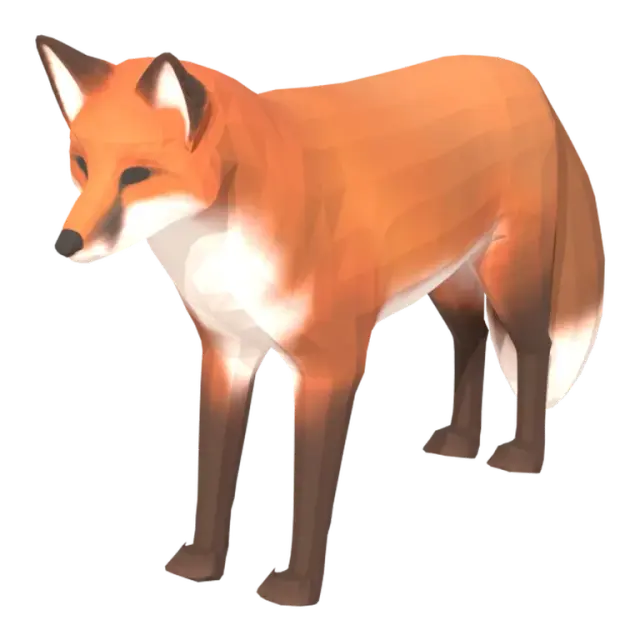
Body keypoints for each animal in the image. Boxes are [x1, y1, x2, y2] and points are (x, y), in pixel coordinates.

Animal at [38, 34, 606, 608]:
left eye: (137, 174)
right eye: (82, 165)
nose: (64, 243)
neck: (224, 248)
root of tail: (515, 70)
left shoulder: (329, 362)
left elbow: (310, 485)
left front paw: (296, 587)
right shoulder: (226, 351)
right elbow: (215, 468)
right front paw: (203, 563)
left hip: (508, 280)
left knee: (534, 347)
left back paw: (525, 457)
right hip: (452, 281)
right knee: (471, 336)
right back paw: (463, 443)